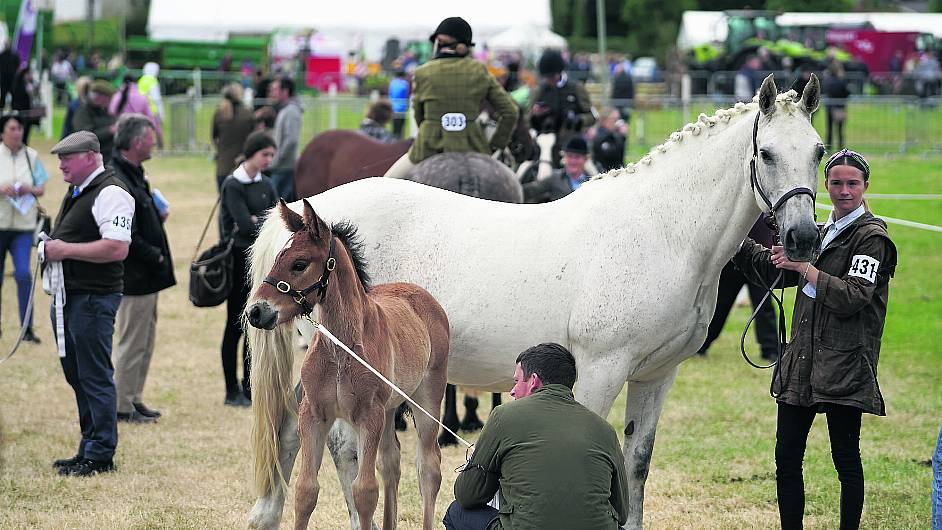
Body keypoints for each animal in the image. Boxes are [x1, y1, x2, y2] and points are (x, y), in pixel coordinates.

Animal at [245, 75, 824, 528]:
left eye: (819, 151)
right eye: (767, 153)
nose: (801, 238)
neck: (659, 230)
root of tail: (307, 218)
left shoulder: (658, 374)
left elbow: (637, 462)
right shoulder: (601, 369)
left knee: (298, 434)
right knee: (334, 446)